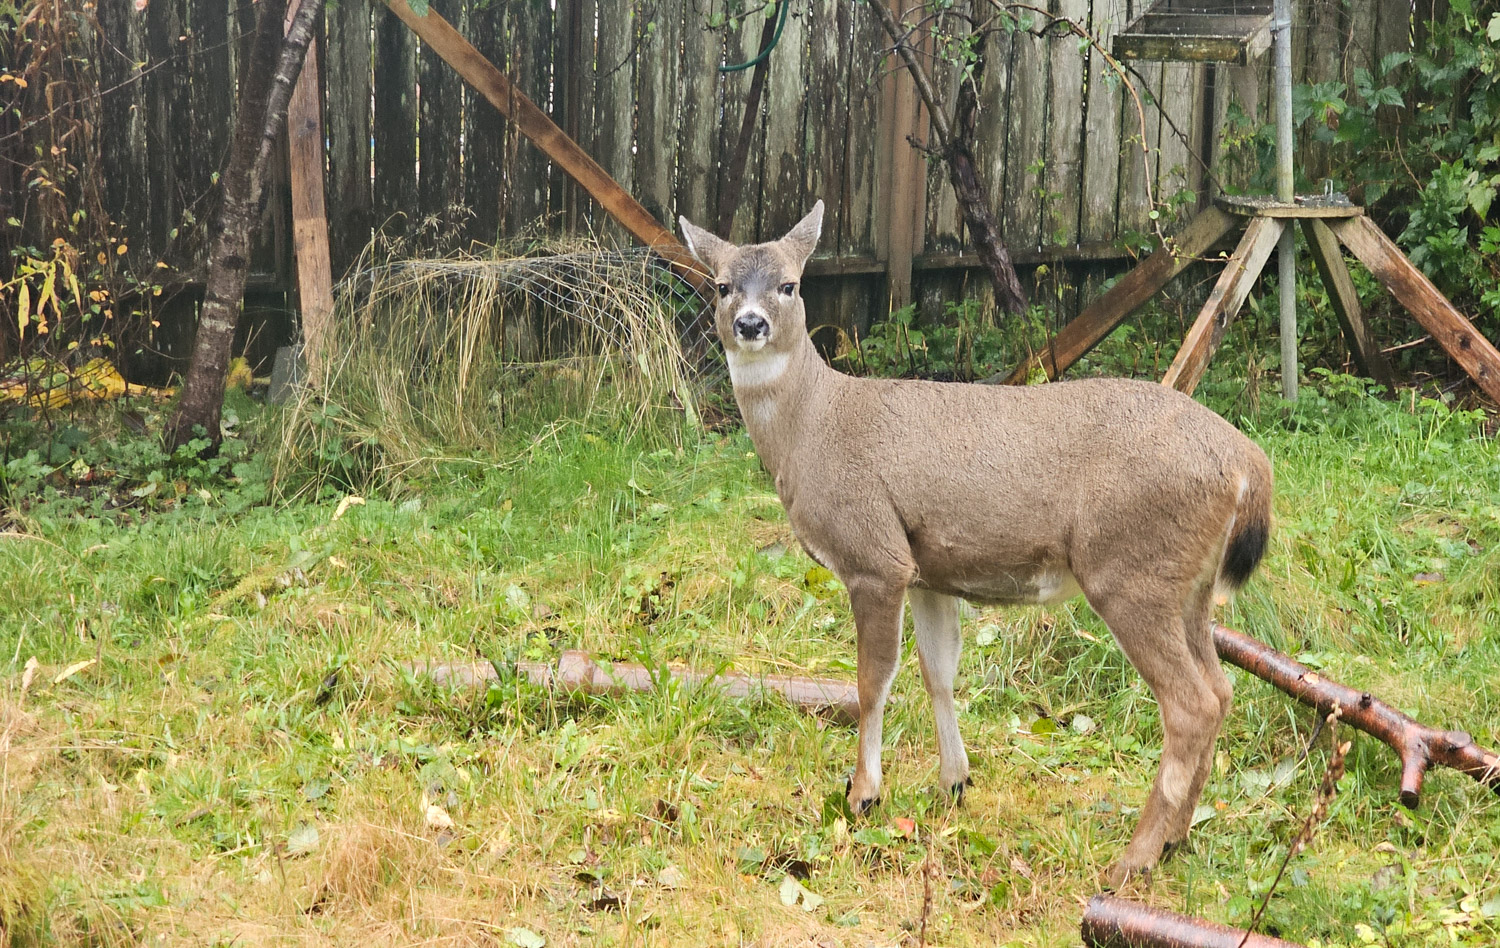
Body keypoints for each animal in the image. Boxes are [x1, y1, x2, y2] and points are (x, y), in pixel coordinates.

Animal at [684, 198, 1278, 882]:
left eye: (789, 284)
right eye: (721, 285)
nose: (750, 323)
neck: (814, 426)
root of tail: (1247, 465)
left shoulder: (873, 556)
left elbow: (872, 680)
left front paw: (863, 795)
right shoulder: (926, 569)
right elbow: (938, 672)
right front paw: (954, 782)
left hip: (1130, 570)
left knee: (1191, 704)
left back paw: (1133, 859)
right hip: (1190, 585)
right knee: (1222, 689)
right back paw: (1176, 839)